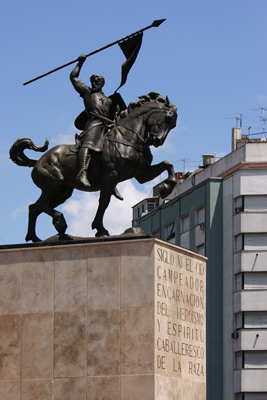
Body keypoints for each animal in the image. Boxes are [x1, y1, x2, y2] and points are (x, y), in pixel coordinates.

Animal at [9, 91, 178, 241]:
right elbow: (104, 202)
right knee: (41, 204)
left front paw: (166, 188)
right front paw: (100, 229)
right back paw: (60, 222)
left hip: (62, 192)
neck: (128, 138)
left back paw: (35, 238)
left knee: (34, 207)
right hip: (54, 183)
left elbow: (167, 164)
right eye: (167, 118)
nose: (157, 141)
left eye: (174, 125)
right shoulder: (111, 177)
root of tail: (37, 161)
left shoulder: (142, 175)